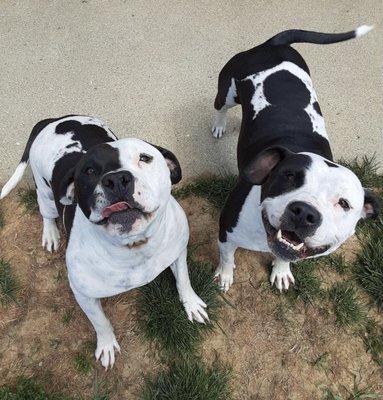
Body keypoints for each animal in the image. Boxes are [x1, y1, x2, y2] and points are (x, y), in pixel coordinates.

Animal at [0, 114, 210, 368]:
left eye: (145, 158)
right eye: (89, 170)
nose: (117, 179)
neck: (134, 245)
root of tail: (54, 120)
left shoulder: (178, 252)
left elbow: (184, 280)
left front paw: (191, 303)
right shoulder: (83, 295)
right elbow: (100, 322)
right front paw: (107, 344)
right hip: (45, 193)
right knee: (46, 212)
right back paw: (50, 234)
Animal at [213, 26, 380, 292]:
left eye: (344, 203)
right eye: (289, 176)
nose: (304, 213)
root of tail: (274, 43)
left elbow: (285, 257)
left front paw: (281, 271)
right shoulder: (226, 232)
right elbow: (227, 258)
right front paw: (225, 277)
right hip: (229, 90)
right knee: (221, 106)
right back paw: (219, 125)